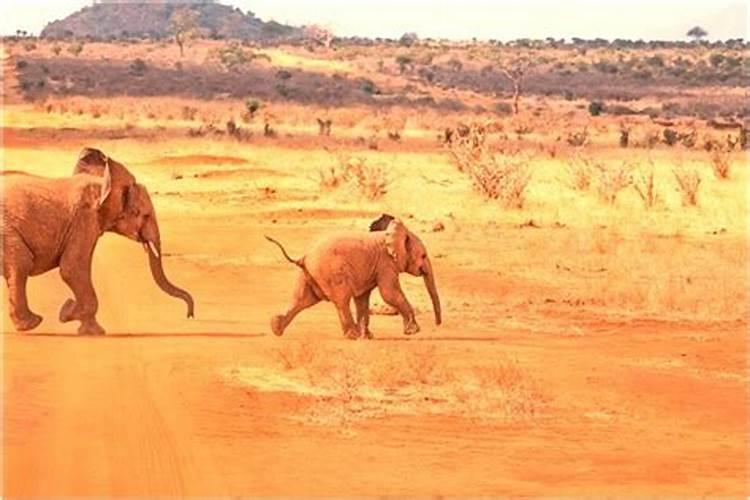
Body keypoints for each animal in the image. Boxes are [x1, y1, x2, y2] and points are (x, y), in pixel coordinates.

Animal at [0, 148, 194, 336]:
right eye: (144, 215)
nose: (189, 316)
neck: (102, 183)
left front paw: (68, 314)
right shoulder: (84, 218)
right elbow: (72, 268)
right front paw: (85, 326)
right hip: (6, 231)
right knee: (22, 263)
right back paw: (33, 323)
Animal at [268, 216, 440, 340]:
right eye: (423, 255)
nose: (438, 325)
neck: (390, 234)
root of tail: (304, 257)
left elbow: (362, 298)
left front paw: (368, 337)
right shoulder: (386, 264)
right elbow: (389, 293)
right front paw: (414, 331)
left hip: (309, 274)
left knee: (302, 300)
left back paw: (276, 329)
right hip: (331, 273)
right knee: (341, 300)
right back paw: (353, 335)